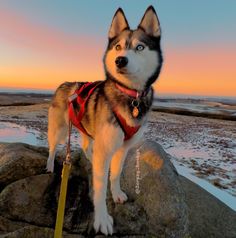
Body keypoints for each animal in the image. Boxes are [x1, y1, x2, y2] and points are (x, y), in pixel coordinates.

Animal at [47, 6, 163, 236]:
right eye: (118, 47)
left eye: (140, 47)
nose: (120, 60)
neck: (130, 96)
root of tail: (64, 83)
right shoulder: (106, 143)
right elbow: (99, 188)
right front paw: (102, 219)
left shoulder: (123, 147)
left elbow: (115, 173)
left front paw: (116, 193)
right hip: (59, 129)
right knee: (53, 147)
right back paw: (49, 166)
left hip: (88, 129)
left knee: (87, 147)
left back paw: (91, 159)